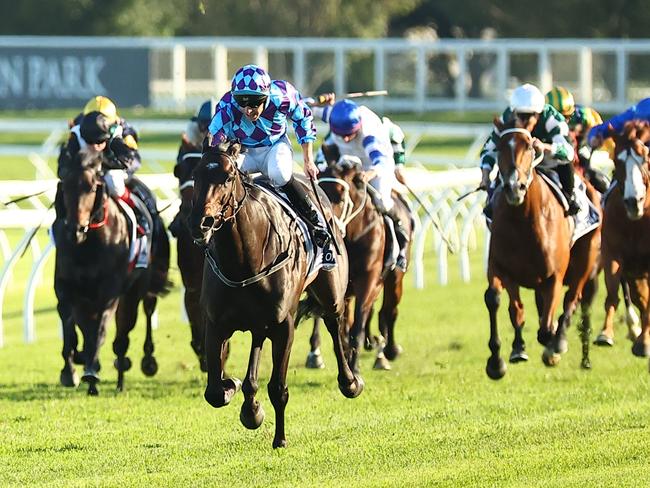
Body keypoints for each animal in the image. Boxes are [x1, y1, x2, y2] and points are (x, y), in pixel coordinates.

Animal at [53, 150, 170, 396]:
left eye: (91, 188)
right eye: (65, 186)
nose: (75, 230)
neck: (88, 246)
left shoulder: (109, 293)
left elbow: (100, 330)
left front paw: (90, 371)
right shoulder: (67, 288)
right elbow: (70, 326)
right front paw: (70, 370)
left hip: (139, 289)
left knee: (133, 325)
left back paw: (133, 368)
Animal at [189, 139, 364, 448]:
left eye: (228, 177)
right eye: (196, 174)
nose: (201, 222)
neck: (243, 261)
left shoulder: (284, 326)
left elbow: (278, 388)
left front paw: (279, 439)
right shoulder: (216, 323)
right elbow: (214, 391)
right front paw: (238, 393)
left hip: (330, 291)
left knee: (333, 322)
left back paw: (350, 381)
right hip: (260, 321)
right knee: (257, 344)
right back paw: (250, 405)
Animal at [484, 118, 600, 378]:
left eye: (529, 146)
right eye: (499, 147)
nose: (514, 187)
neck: (523, 222)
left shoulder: (554, 276)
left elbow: (547, 326)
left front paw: (553, 346)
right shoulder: (500, 268)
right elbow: (502, 303)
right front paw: (500, 360)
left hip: (585, 259)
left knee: (571, 299)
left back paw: (559, 342)